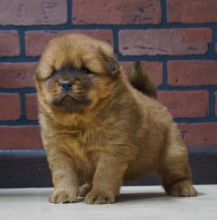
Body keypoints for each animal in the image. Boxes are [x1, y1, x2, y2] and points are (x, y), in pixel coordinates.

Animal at [35, 33, 197, 205]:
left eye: (85, 70)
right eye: (54, 72)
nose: (65, 83)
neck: (80, 122)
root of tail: (151, 98)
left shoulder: (112, 148)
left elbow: (104, 174)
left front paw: (99, 195)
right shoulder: (59, 150)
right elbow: (63, 174)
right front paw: (63, 194)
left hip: (173, 153)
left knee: (178, 174)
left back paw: (183, 188)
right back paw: (85, 189)